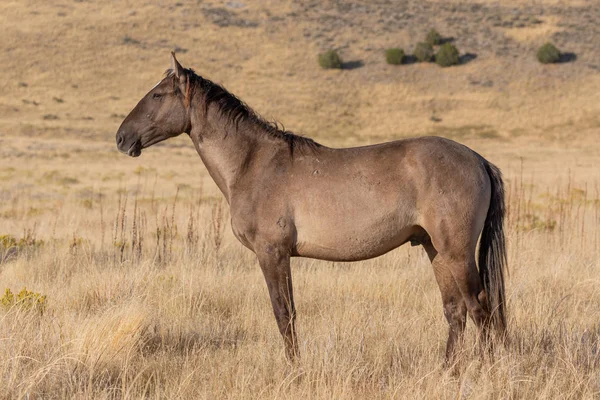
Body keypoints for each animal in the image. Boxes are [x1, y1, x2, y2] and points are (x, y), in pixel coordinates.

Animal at [113, 53, 506, 362]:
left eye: (157, 94)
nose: (121, 137)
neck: (253, 163)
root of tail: (478, 159)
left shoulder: (272, 253)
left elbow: (284, 314)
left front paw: (294, 371)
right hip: (434, 249)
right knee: (455, 311)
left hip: (455, 252)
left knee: (479, 307)